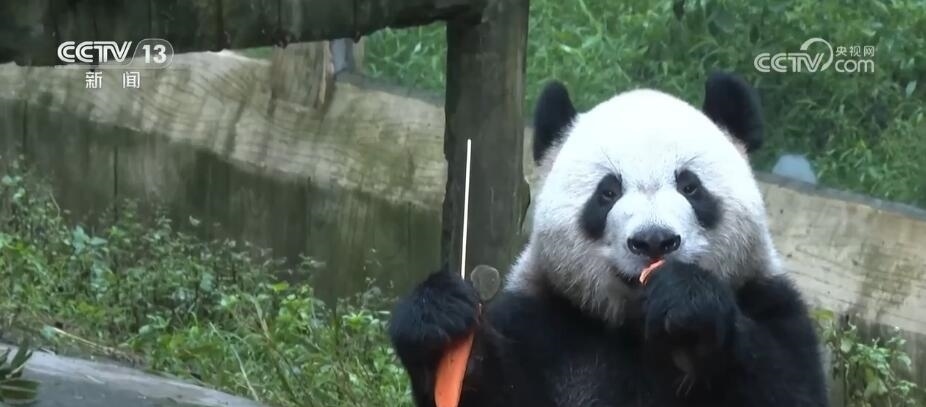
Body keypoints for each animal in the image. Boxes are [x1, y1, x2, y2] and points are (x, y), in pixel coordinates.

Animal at [388, 71, 829, 407]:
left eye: (690, 186)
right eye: (608, 192)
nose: (654, 241)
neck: (634, 327)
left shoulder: (769, 301)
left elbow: (787, 388)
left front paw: (690, 304)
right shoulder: (546, 323)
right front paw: (437, 320)